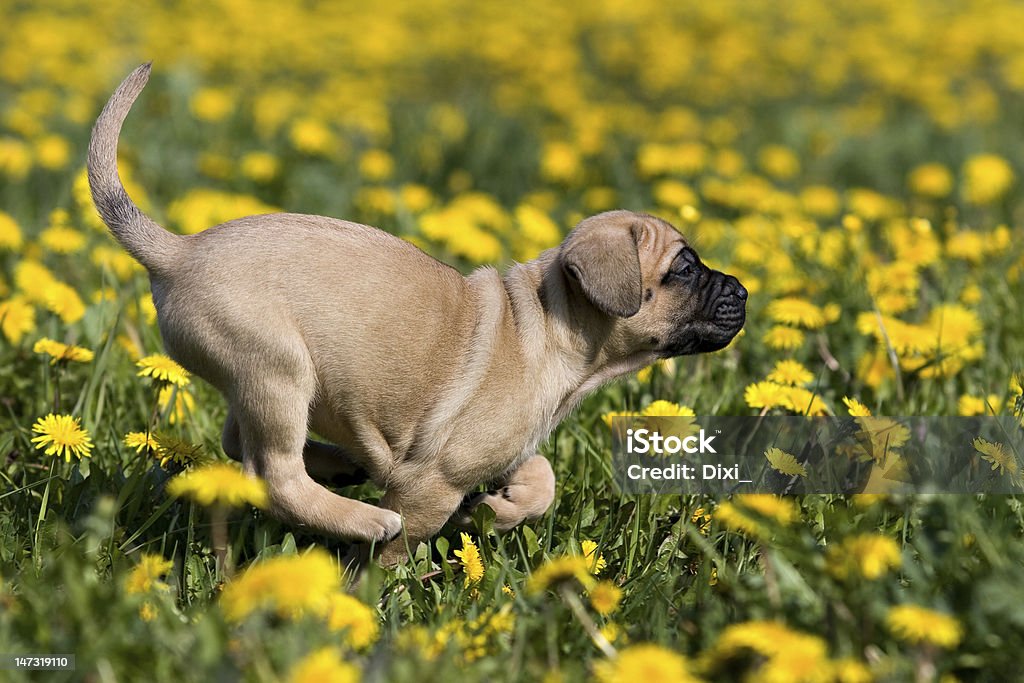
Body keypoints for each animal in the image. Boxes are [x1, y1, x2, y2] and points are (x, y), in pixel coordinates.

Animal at [88, 65, 745, 565]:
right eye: (685, 269)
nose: (741, 291)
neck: (551, 324)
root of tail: (177, 250)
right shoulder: (432, 482)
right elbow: (401, 550)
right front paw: (378, 589)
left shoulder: (508, 449)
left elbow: (543, 478)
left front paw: (502, 510)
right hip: (277, 367)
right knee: (272, 473)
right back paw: (361, 516)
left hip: (266, 381)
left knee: (239, 442)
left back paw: (346, 465)